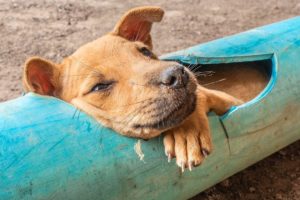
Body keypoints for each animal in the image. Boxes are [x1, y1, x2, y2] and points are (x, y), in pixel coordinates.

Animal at [23, 6, 245, 172]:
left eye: (145, 52)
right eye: (99, 86)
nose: (178, 75)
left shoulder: (233, 100)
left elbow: (201, 95)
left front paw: (188, 130)